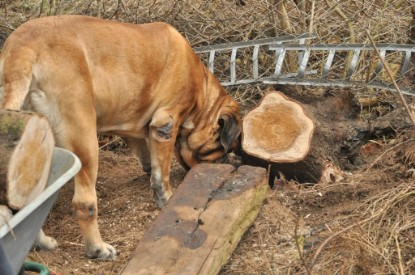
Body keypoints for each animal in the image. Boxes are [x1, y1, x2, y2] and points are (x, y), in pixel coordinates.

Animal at [0, 15, 240, 260]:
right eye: (220, 150)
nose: (228, 163)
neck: (202, 92)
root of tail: (23, 45)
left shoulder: (134, 127)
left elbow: (147, 157)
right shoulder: (165, 124)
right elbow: (161, 176)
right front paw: (167, 199)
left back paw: (41, 241)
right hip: (85, 141)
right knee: (84, 203)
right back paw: (97, 248)